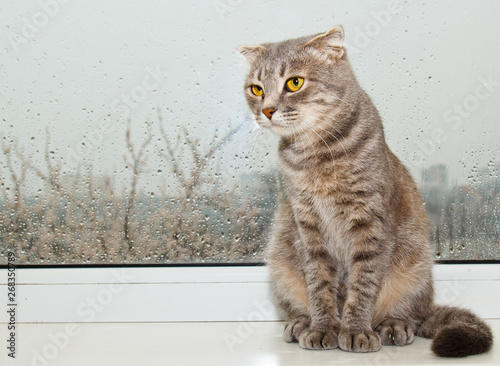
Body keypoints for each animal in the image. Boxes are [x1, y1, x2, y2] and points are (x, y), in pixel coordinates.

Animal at [238, 26, 492, 358]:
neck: (314, 155)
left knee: (412, 313)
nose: (267, 110)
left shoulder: (370, 224)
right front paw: (323, 328)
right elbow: (319, 284)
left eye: (294, 82)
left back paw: (393, 325)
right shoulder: (306, 226)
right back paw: (300, 323)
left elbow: (363, 284)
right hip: (281, 257)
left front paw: (356, 330)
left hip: (416, 264)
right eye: (256, 89)